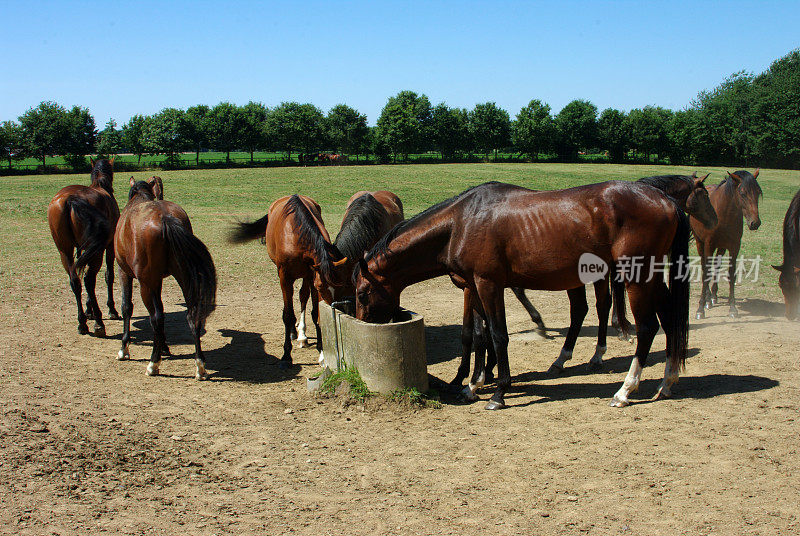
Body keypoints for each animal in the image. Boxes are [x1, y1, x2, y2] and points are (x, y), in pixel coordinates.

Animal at [47, 157, 120, 338]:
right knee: (88, 279)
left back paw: (82, 323)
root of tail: (70, 199)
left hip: (65, 251)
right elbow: (109, 275)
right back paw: (99, 323)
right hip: (97, 252)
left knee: (76, 280)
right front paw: (111, 309)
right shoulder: (109, 248)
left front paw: (88, 311)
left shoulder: (81, 249)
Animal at [114, 178, 217, 378]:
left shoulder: (124, 272)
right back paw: (200, 366)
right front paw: (164, 346)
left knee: (156, 317)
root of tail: (165, 218)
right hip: (183, 277)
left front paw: (124, 348)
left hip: (145, 284)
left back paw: (153, 364)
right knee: (193, 315)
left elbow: (126, 307)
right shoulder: (158, 280)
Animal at [228, 195, 346, 366]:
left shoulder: (311, 275)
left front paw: (322, 351)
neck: (297, 236)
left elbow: (315, 313)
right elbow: (288, 314)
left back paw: (302, 335)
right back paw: (293, 333)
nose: (333, 308)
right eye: (320, 287)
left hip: (305, 276)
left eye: (340, 286)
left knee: (303, 297)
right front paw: (286, 355)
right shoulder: (286, 278)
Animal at [354, 182, 692, 408]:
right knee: (668, 319)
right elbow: (480, 336)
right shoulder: (474, 286)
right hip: (652, 277)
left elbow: (498, 335)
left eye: (361, 293)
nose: (366, 326)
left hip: (637, 277)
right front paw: (473, 385)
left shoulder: (488, 284)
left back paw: (625, 390)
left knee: (647, 327)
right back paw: (667, 381)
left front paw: (499, 392)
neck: (461, 222)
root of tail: (666, 200)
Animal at [688, 170, 764, 318]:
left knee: (716, 267)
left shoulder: (734, 246)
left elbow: (731, 273)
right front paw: (700, 308)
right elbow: (706, 273)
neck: (723, 215)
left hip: (721, 247)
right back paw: (707, 299)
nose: (755, 223)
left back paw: (713, 296)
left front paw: (732, 307)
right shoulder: (708, 245)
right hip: (701, 244)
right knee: (705, 267)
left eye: (758, 192)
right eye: (742, 193)